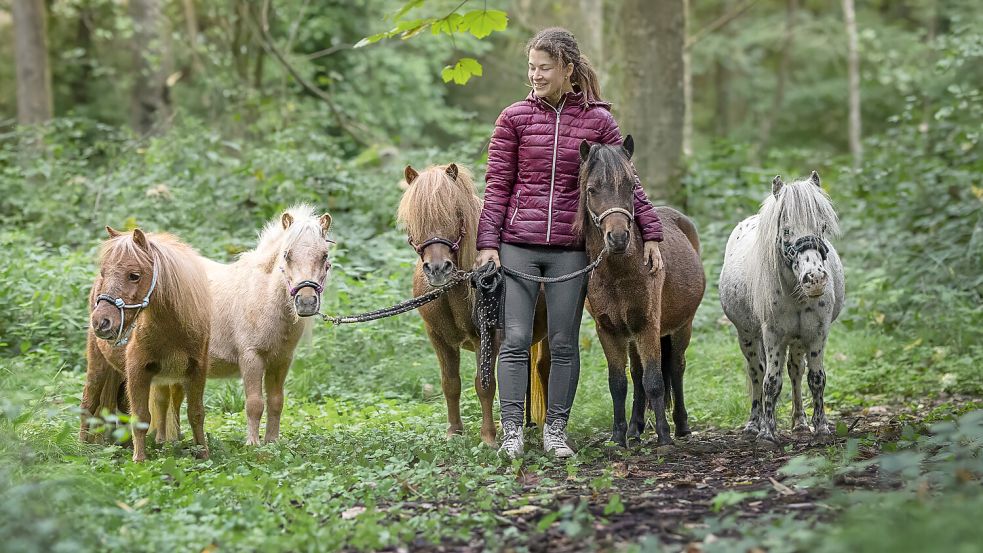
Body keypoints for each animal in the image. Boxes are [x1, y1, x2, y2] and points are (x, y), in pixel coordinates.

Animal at [81, 227, 211, 462]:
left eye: (134, 275)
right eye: (105, 273)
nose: (101, 322)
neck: (173, 330)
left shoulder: (197, 371)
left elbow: (196, 413)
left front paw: (203, 454)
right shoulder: (138, 371)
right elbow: (142, 417)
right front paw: (139, 460)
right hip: (98, 366)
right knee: (88, 404)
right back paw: (80, 447)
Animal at [150, 205, 333, 445]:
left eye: (324, 255)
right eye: (287, 254)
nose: (306, 302)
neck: (263, 296)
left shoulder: (281, 361)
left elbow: (276, 402)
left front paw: (272, 442)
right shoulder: (251, 358)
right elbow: (254, 403)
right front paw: (252, 444)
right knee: (161, 399)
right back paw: (162, 441)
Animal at [397, 164, 550, 446]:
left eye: (455, 213)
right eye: (415, 218)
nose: (438, 269)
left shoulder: (486, 338)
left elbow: (484, 385)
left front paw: (488, 437)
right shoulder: (439, 340)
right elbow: (450, 384)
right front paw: (454, 432)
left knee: (544, 369)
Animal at [575, 137, 706, 447]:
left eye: (631, 187)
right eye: (592, 189)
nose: (618, 237)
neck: (618, 274)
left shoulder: (648, 326)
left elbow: (655, 381)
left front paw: (664, 437)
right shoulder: (609, 330)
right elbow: (619, 382)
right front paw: (619, 436)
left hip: (681, 327)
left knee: (676, 368)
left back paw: (681, 426)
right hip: (632, 334)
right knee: (637, 374)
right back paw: (635, 429)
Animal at [719, 171, 844, 444]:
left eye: (822, 227)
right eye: (786, 230)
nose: (815, 279)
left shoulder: (816, 334)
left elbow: (816, 379)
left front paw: (821, 427)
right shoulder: (773, 336)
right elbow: (771, 382)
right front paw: (767, 433)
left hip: (797, 339)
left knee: (796, 371)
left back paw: (800, 423)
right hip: (748, 336)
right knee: (757, 373)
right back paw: (754, 424)